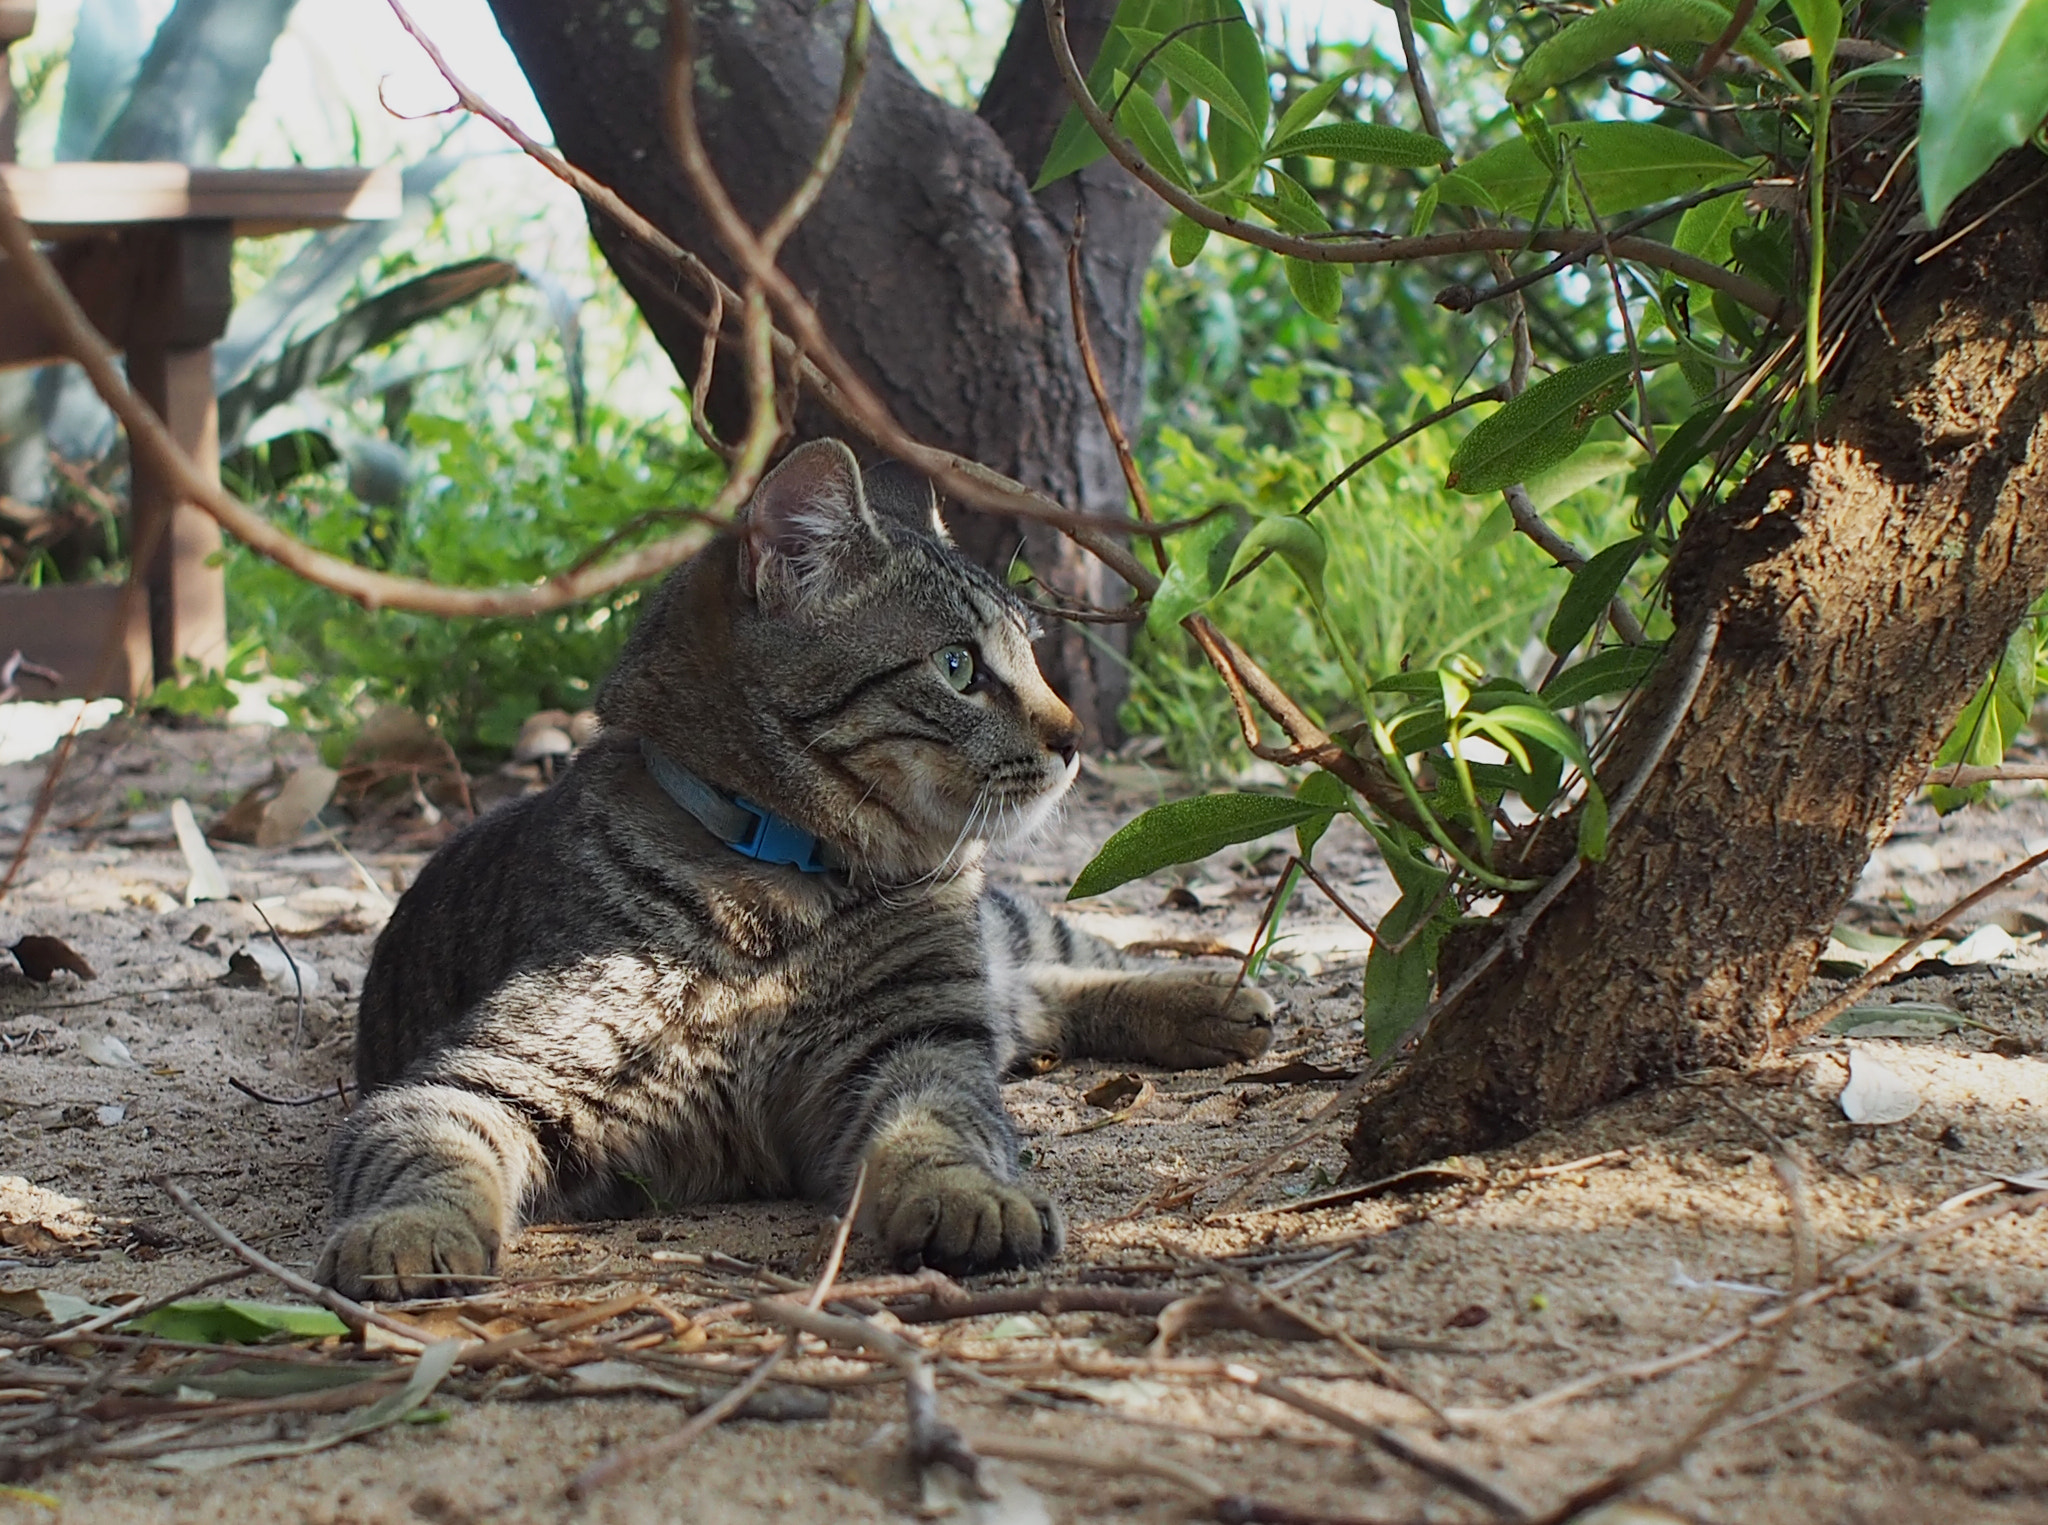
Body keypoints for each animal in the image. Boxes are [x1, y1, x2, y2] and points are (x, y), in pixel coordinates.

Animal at [319, 440, 1269, 1293]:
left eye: (1033, 655)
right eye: (958, 665)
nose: (1075, 740)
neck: (774, 887)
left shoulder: (913, 1045)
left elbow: (940, 1129)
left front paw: (972, 1195)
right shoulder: (485, 1075)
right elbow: (428, 1149)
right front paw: (406, 1231)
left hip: (980, 958)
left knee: (1056, 964)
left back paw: (1213, 995)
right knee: (1034, 998)